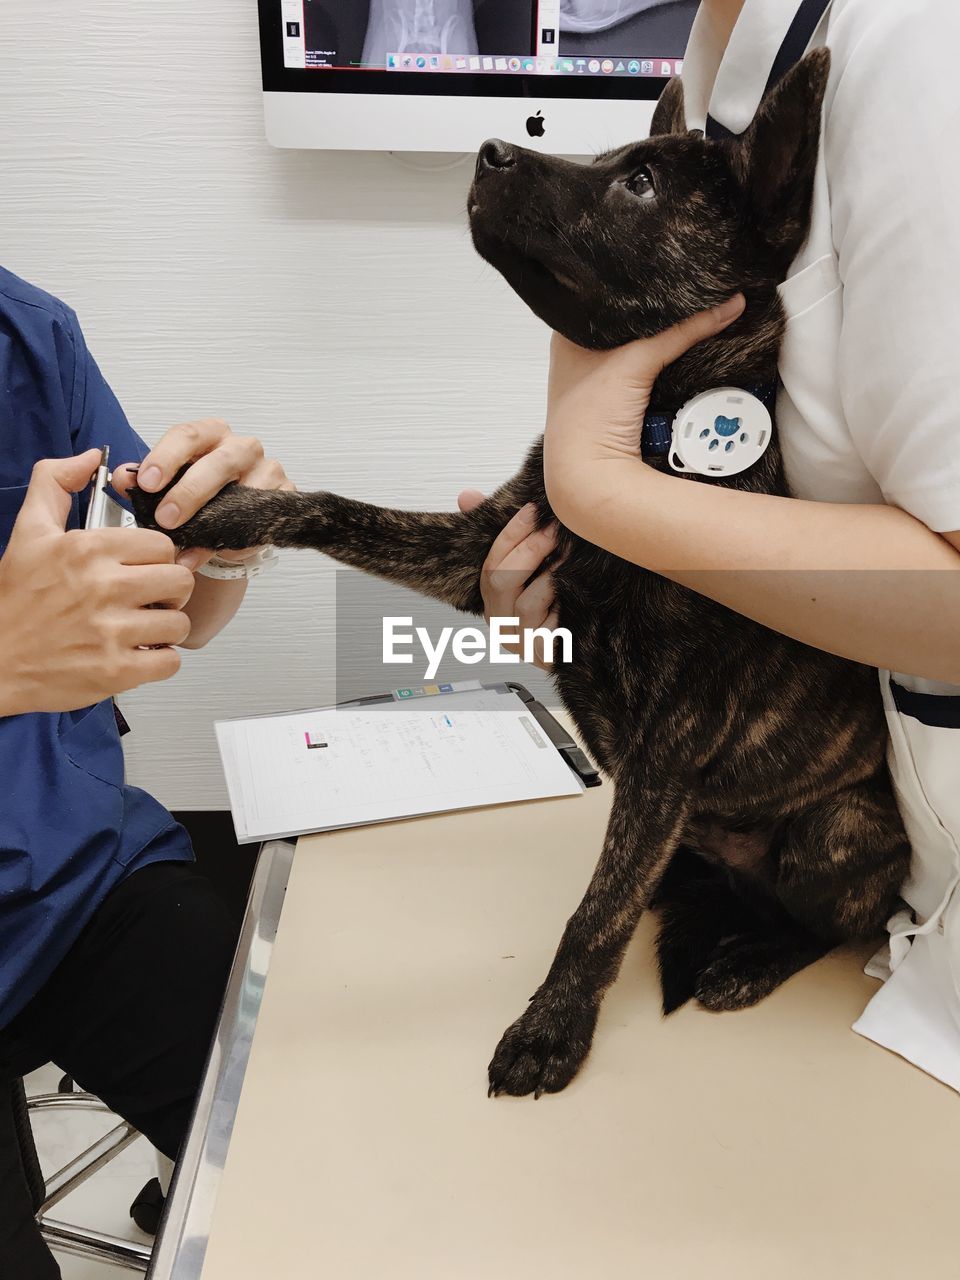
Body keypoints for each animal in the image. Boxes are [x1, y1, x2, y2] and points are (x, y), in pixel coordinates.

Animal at [133, 47, 911, 1090]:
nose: (490, 148)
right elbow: (338, 509)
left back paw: (748, 958)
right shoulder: (480, 550)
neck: (648, 441)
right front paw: (229, 509)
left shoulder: (667, 750)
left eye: (641, 182)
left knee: (827, 924)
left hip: (834, 832)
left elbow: (595, 914)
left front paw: (553, 1027)